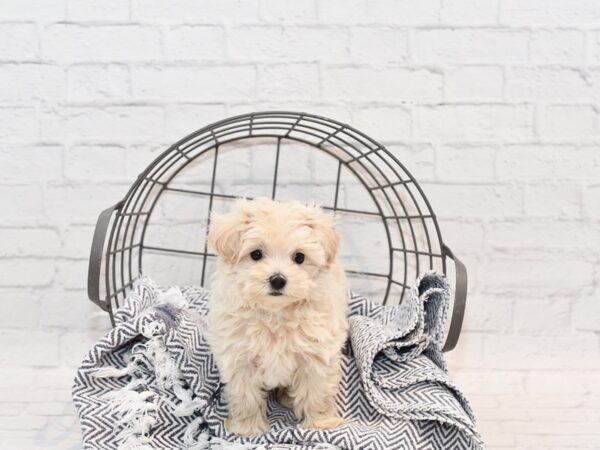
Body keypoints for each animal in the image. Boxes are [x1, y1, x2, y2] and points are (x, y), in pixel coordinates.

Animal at [206, 197, 350, 436]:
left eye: (299, 257)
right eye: (256, 254)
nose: (278, 280)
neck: (276, 313)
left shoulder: (317, 354)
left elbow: (317, 392)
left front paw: (320, 423)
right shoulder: (240, 357)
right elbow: (245, 396)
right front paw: (248, 428)